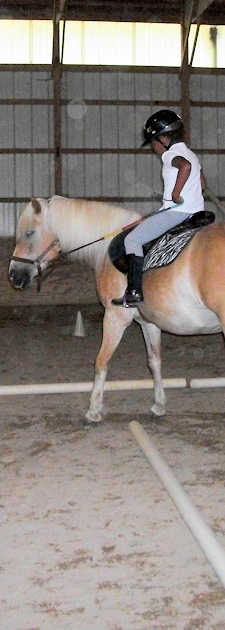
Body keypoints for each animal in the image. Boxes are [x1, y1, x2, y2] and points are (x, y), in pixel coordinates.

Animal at [8, 196, 225, 424]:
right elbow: (154, 361)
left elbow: (101, 361)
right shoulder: (148, 322)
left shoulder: (114, 318)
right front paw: (159, 405)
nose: (13, 275)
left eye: (29, 233)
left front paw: (94, 410)